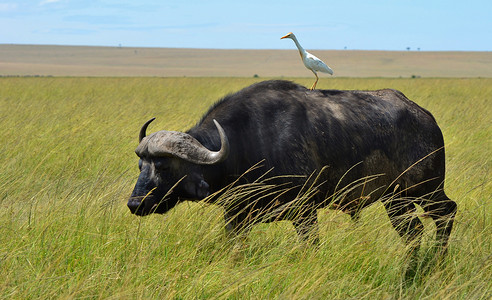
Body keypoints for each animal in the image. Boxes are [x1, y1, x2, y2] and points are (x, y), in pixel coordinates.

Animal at [128, 79, 458, 258]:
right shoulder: (236, 216)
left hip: (426, 189)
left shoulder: (305, 211)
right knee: (414, 232)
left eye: (162, 164)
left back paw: (438, 261)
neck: (245, 142)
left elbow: (311, 246)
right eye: (141, 164)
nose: (135, 204)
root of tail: (426, 118)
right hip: (396, 200)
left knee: (447, 213)